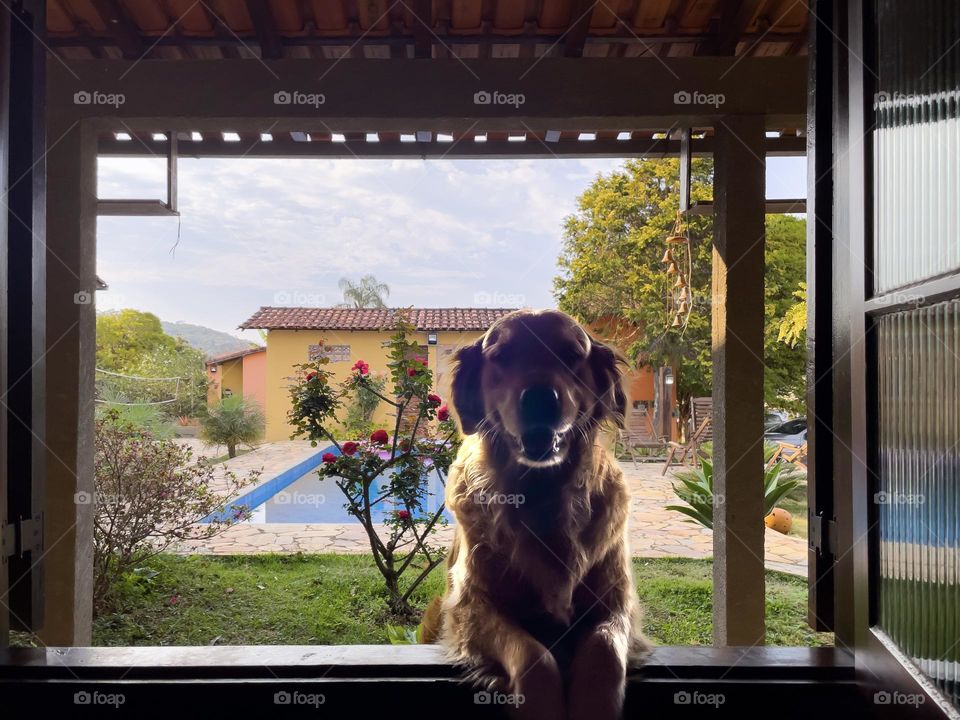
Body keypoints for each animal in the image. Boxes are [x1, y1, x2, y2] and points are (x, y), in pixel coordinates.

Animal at [424, 310, 648, 720]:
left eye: (571, 354)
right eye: (502, 356)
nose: (541, 398)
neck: (541, 494)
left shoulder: (616, 602)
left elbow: (604, 650)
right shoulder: (470, 605)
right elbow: (533, 657)